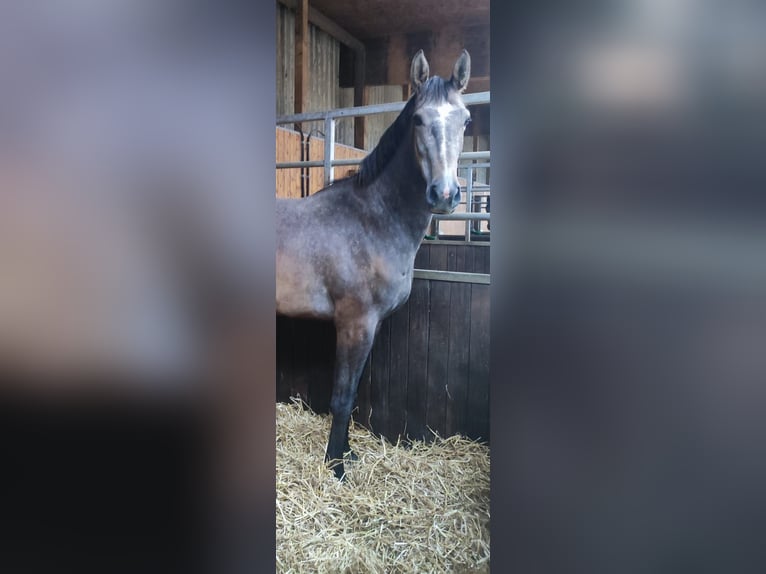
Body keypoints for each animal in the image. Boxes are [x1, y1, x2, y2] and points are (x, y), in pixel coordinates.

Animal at [274, 49, 468, 482]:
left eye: (465, 119)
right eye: (418, 120)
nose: (445, 195)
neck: (373, 219)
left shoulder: (371, 326)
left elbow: (355, 391)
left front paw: (348, 454)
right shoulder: (355, 323)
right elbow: (343, 396)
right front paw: (336, 466)